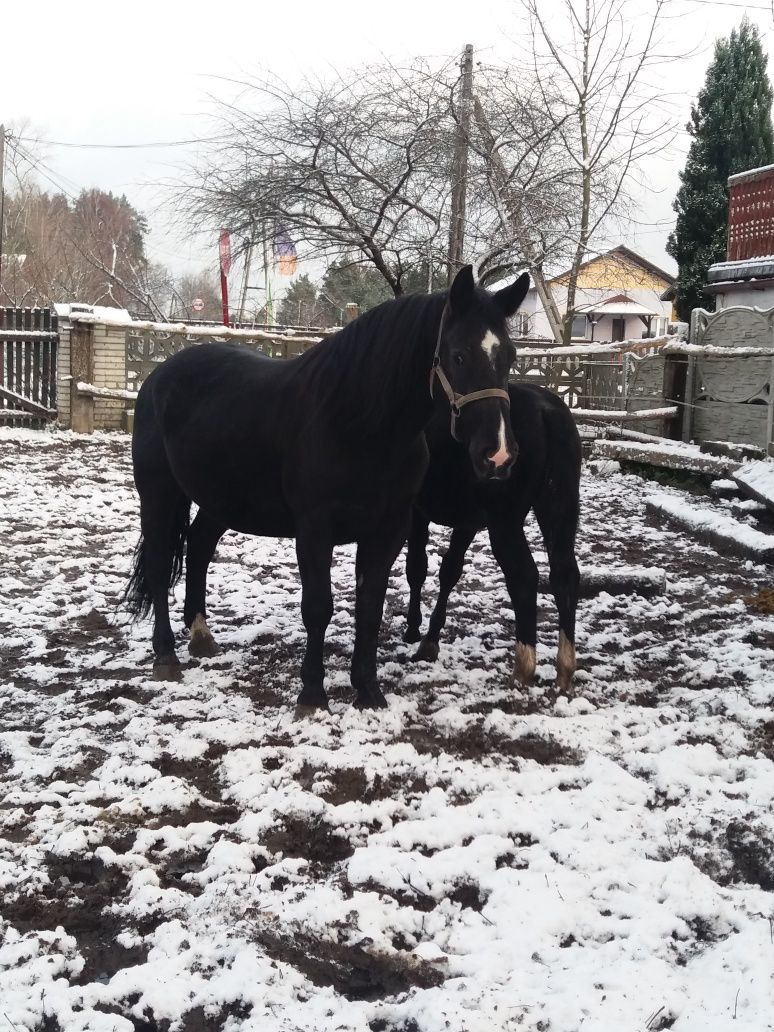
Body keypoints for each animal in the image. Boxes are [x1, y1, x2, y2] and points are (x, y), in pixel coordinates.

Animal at [125, 266, 532, 710]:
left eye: (511, 357)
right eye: (459, 355)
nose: (499, 455)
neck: (357, 423)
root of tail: (158, 375)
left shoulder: (390, 528)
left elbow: (370, 606)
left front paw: (368, 689)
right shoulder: (314, 528)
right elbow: (318, 607)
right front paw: (312, 693)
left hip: (221, 499)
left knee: (198, 547)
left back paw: (201, 636)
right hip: (158, 493)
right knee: (160, 563)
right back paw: (166, 655)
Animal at [406, 381, 582, 693]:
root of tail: (545, 409)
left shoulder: (418, 512)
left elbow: (417, 568)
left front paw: (414, 627)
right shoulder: (469, 522)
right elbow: (449, 571)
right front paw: (429, 638)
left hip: (505, 523)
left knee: (524, 576)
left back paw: (524, 666)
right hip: (559, 510)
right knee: (565, 575)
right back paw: (564, 667)